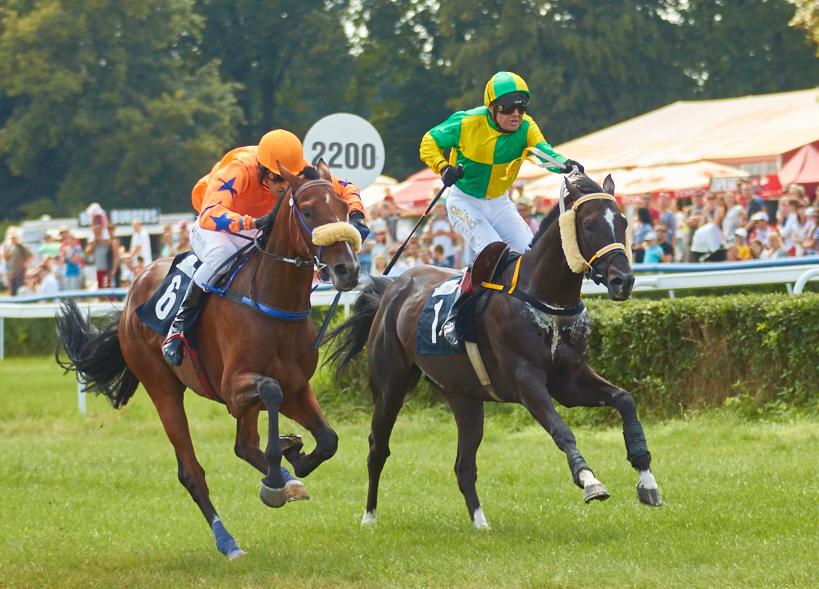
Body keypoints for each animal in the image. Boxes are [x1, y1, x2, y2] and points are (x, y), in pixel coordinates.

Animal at [56, 160, 362, 556]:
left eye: (343, 209)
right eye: (308, 212)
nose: (347, 270)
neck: (271, 300)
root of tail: (133, 290)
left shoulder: (296, 387)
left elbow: (327, 439)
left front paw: (293, 457)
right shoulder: (235, 389)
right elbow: (271, 394)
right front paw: (280, 469)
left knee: (243, 445)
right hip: (163, 390)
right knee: (192, 471)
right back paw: (228, 541)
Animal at [326, 172, 660, 532]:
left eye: (623, 221)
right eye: (589, 224)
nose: (623, 280)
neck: (546, 297)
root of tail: (392, 287)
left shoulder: (569, 379)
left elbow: (625, 399)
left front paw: (646, 478)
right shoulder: (526, 381)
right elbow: (562, 430)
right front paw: (588, 479)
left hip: (464, 397)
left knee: (463, 465)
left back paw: (480, 522)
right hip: (390, 386)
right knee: (378, 449)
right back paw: (369, 516)